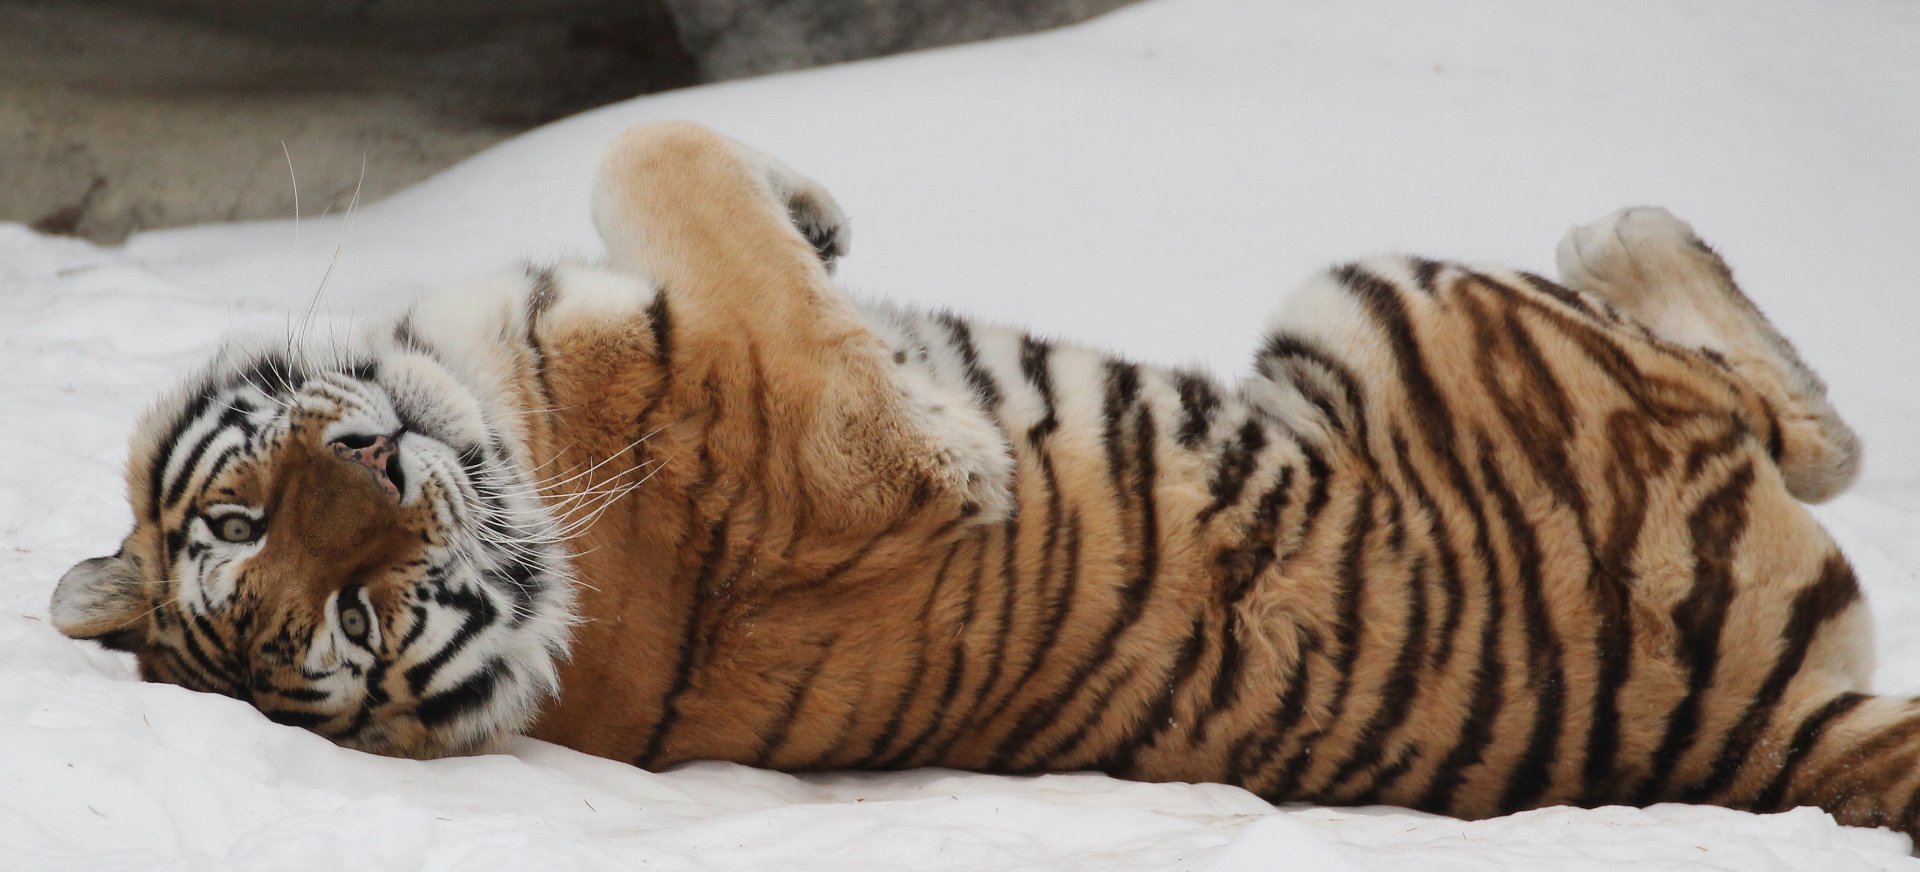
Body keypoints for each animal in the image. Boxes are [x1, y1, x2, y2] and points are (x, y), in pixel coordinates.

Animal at [52, 121, 1908, 836]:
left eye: (249, 517)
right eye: (355, 618)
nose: (386, 459)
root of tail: (1767, 742)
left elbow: (669, 169)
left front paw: (816, 213)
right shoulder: (842, 441)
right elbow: (655, 151)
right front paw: (934, 400)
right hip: (1397, 307)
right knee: (1789, 411)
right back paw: (1628, 226)